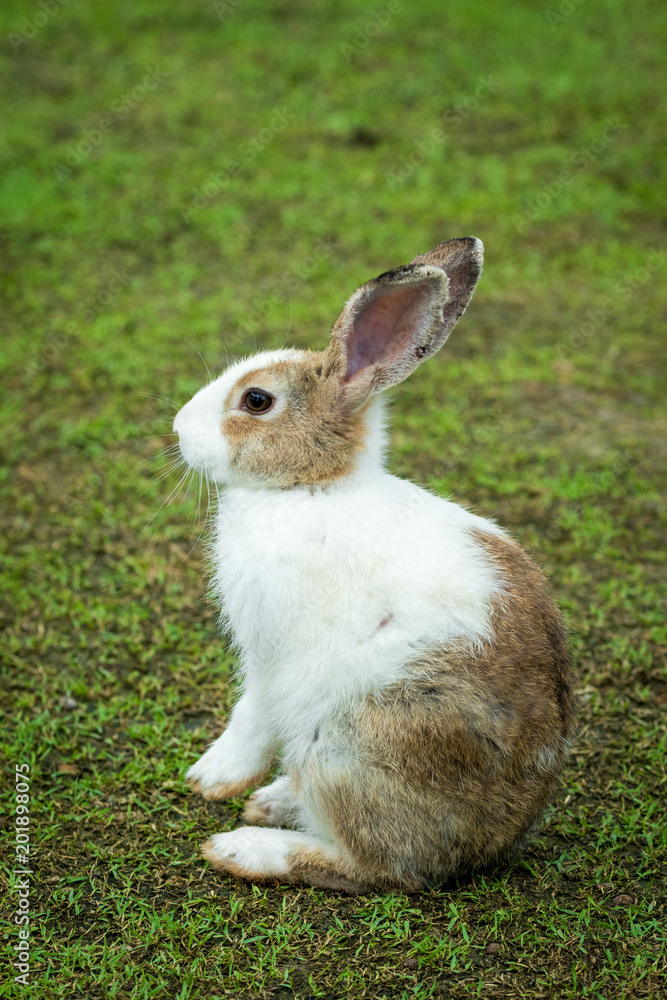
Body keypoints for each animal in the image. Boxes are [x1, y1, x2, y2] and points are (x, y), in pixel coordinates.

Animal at [173, 237, 575, 893]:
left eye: (256, 401)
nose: (179, 428)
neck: (311, 487)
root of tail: (490, 842)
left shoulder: (270, 650)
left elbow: (250, 713)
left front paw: (211, 777)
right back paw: (275, 801)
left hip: (348, 740)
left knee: (377, 867)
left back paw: (247, 847)